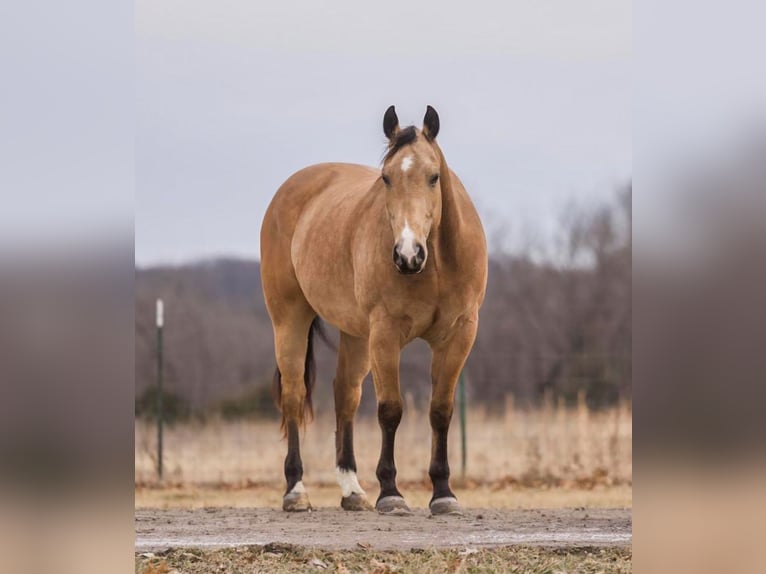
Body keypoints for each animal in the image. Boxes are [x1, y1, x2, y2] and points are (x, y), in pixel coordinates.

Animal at [260, 105, 487, 515]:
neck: (436, 265)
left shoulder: (459, 334)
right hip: (289, 319)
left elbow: (440, 410)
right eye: (386, 178)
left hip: (354, 333)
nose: (408, 255)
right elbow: (390, 410)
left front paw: (443, 492)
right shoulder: (385, 333)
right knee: (294, 395)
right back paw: (296, 491)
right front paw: (391, 492)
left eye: (433, 177)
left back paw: (352, 490)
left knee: (345, 395)